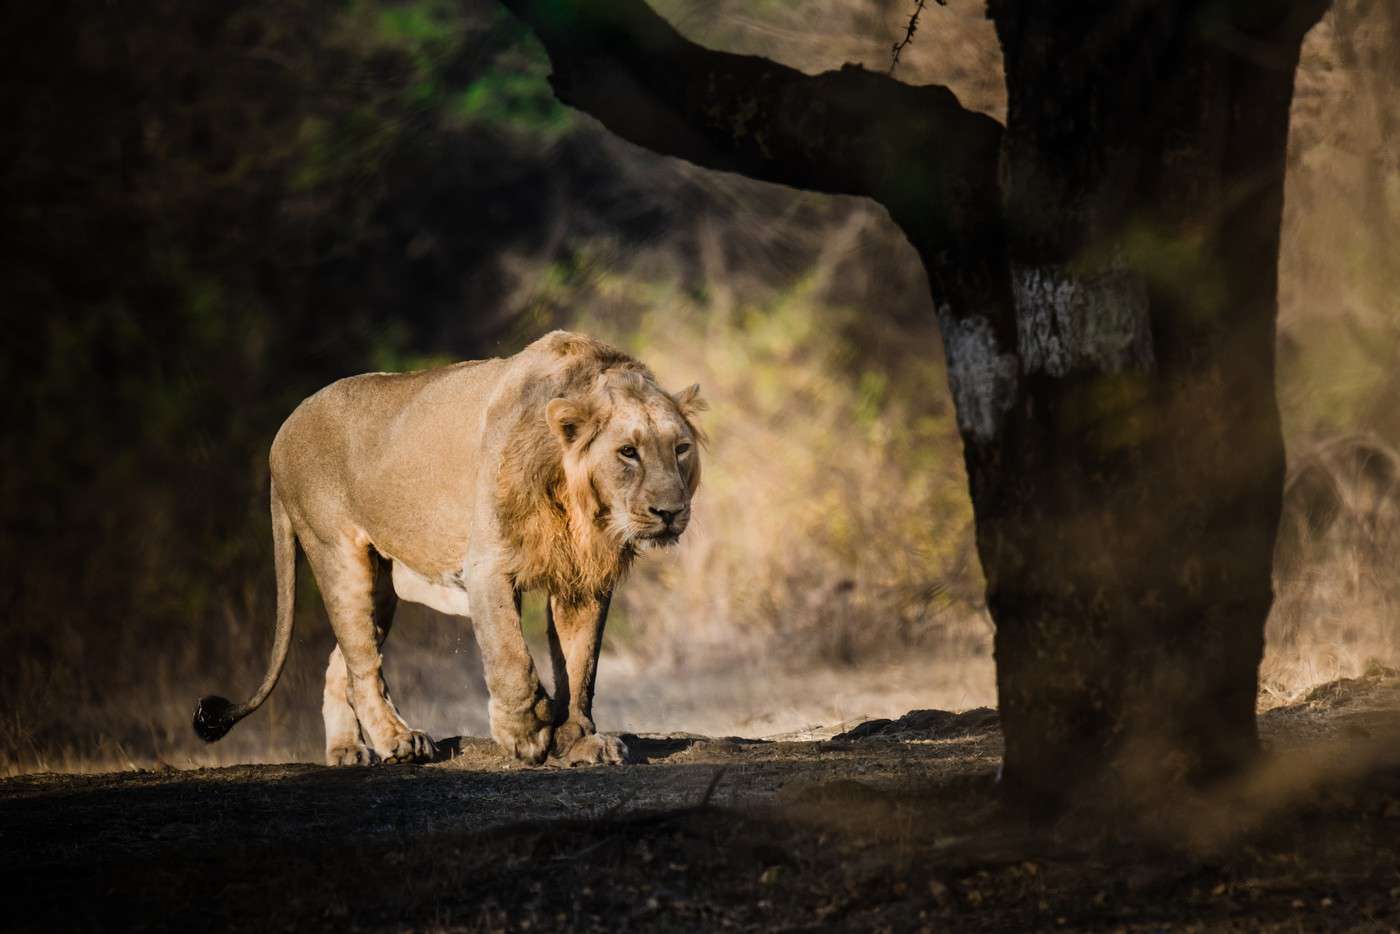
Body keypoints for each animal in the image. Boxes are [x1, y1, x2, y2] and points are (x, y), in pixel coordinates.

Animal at [191, 331, 705, 772]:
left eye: (680, 448)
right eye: (628, 452)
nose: (670, 512)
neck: (579, 504)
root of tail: (283, 430)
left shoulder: (584, 579)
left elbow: (581, 667)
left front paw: (580, 741)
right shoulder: (487, 564)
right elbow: (510, 656)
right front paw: (525, 733)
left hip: (380, 584)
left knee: (344, 663)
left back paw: (347, 750)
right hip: (336, 553)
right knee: (362, 664)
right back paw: (398, 740)